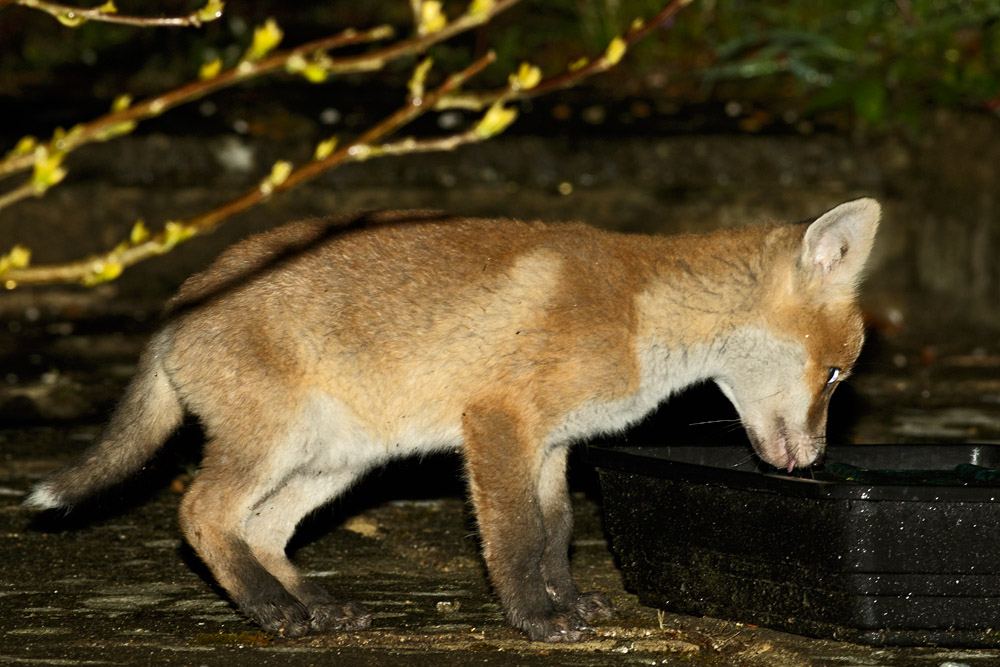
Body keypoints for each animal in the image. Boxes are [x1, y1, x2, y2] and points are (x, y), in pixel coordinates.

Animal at [25, 198, 879, 642]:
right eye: (836, 374)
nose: (812, 462)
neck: (642, 312)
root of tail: (177, 305)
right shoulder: (497, 420)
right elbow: (515, 538)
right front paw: (535, 618)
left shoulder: (552, 443)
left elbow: (556, 532)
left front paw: (569, 601)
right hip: (275, 445)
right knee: (200, 515)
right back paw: (275, 612)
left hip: (337, 459)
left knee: (260, 530)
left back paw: (315, 607)